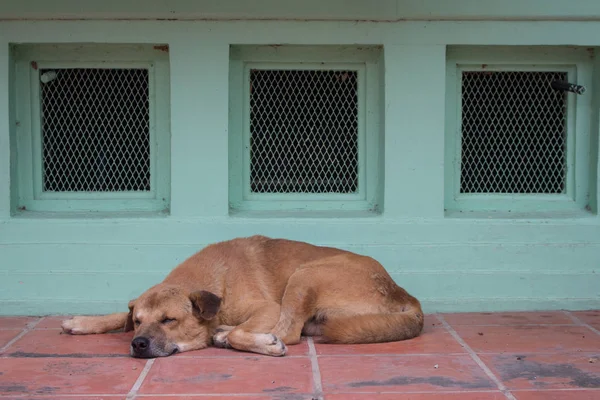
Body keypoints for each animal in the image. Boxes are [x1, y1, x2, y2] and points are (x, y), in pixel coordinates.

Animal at [61, 234, 424, 356]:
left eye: (169, 320)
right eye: (138, 322)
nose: (137, 344)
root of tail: (405, 295)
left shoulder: (267, 308)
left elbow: (247, 331)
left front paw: (238, 337)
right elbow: (115, 313)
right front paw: (81, 322)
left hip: (304, 275)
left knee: (289, 332)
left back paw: (234, 337)